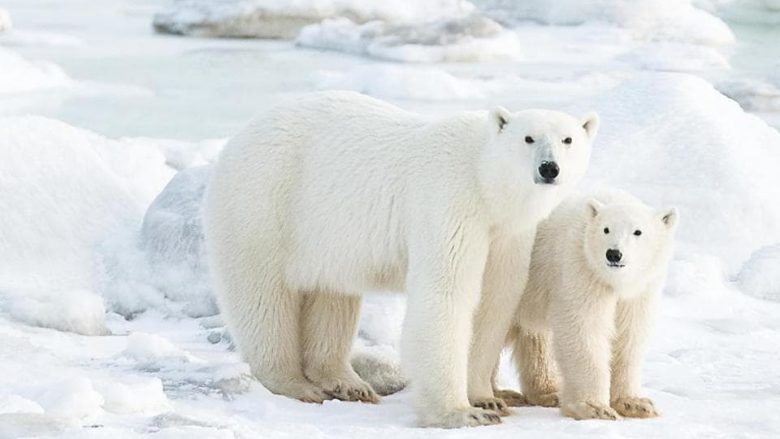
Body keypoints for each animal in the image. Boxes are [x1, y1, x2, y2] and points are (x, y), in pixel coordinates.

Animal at [204, 91, 600, 428]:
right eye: (528, 138)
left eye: (567, 140)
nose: (549, 168)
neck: (483, 179)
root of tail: (237, 138)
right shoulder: (450, 202)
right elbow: (445, 296)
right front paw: (459, 412)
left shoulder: (506, 234)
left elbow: (493, 302)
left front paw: (486, 399)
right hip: (265, 204)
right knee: (264, 298)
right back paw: (296, 384)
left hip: (326, 237)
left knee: (332, 296)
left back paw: (347, 382)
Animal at [506, 191, 676, 422]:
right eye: (606, 229)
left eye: (638, 231)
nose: (613, 254)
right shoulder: (581, 269)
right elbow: (584, 328)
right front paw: (595, 408)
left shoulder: (641, 289)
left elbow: (630, 336)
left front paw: (635, 404)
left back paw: (548, 392)